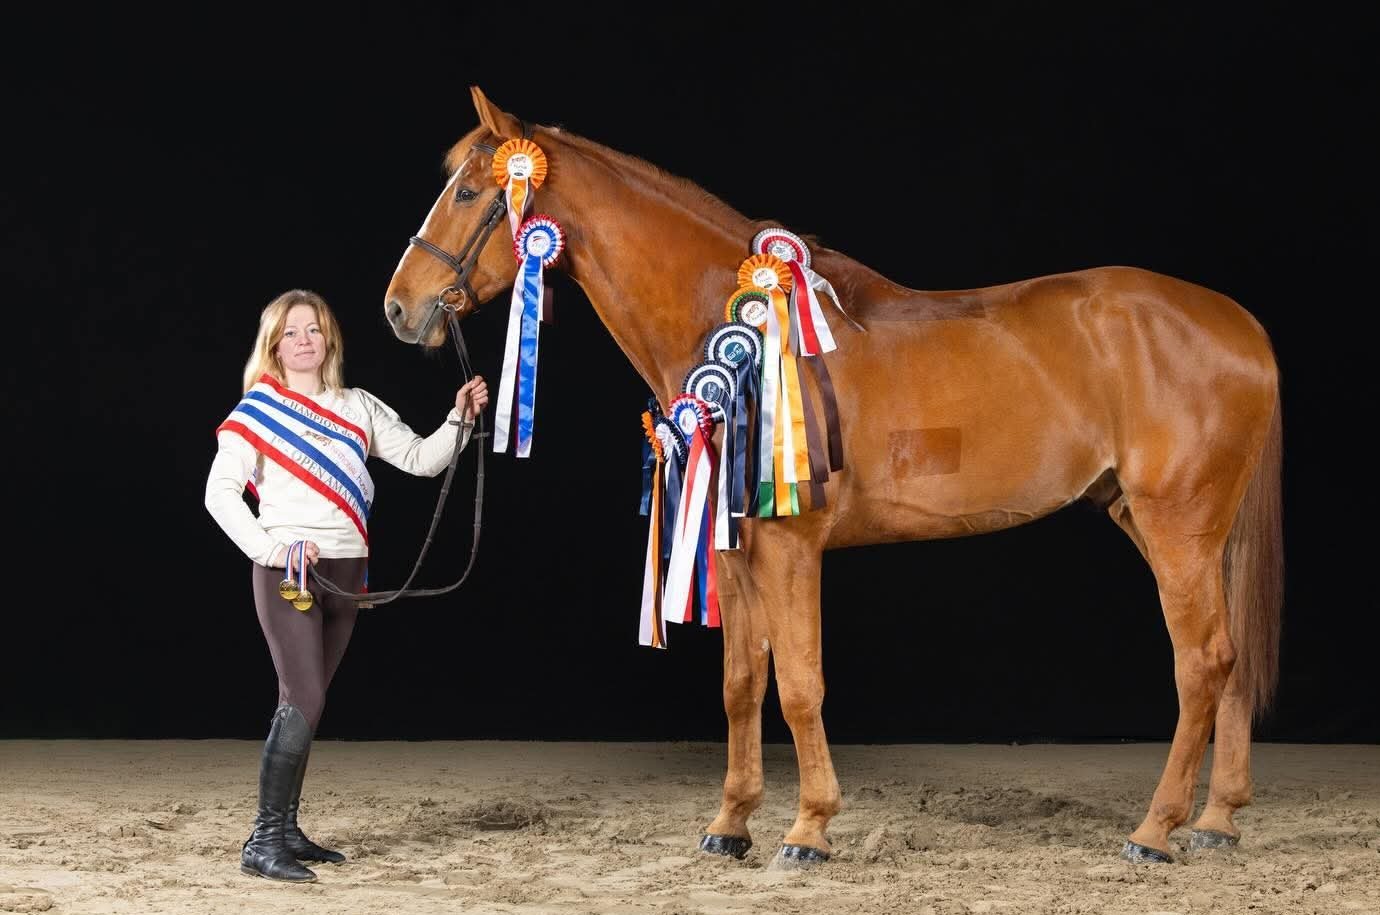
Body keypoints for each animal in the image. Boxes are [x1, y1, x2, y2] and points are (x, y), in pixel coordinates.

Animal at [381, 86, 1283, 868]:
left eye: (469, 192)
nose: (399, 307)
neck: (747, 332)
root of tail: (1239, 322)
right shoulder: (735, 549)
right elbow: (742, 685)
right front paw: (730, 824)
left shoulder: (791, 546)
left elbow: (800, 686)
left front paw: (808, 829)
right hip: (1171, 526)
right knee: (1232, 660)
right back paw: (1217, 820)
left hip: (1177, 526)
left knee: (1201, 661)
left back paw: (1156, 829)